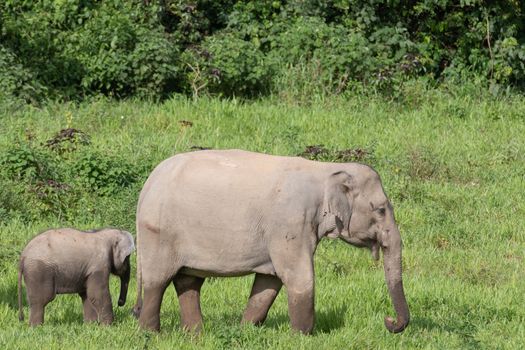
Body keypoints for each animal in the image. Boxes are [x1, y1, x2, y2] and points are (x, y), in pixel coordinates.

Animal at [132, 150, 410, 334]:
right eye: (381, 210)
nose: (388, 321)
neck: (325, 170)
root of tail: (147, 184)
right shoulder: (290, 223)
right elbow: (298, 276)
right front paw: (302, 337)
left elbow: (270, 280)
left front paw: (246, 331)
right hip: (158, 233)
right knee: (158, 281)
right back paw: (151, 333)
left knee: (188, 280)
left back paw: (195, 334)